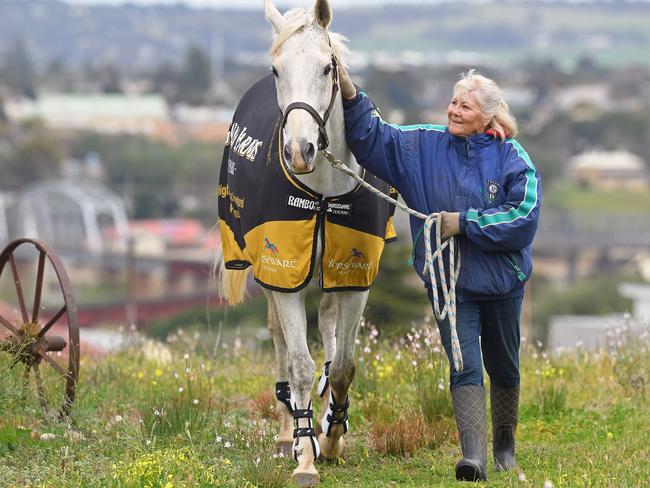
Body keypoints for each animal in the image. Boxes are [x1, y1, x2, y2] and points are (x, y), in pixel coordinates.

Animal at [219, 1, 380, 486]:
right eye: (277, 69)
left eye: (328, 67)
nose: (299, 151)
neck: (324, 190)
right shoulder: (284, 272)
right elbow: (299, 364)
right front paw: (305, 452)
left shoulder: (355, 279)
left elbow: (342, 366)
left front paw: (333, 437)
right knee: (279, 341)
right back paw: (286, 429)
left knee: (327, 326)